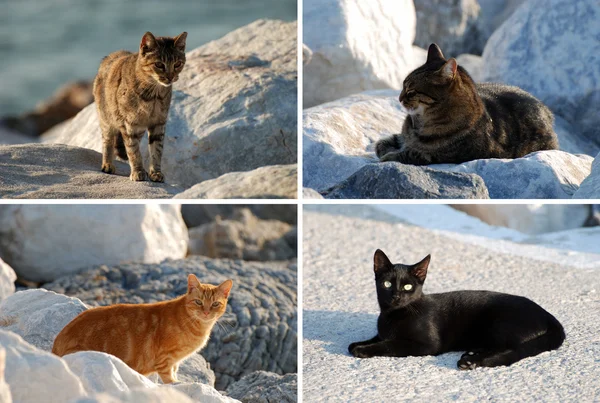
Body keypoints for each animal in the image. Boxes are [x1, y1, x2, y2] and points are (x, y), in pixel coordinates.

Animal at [51, 274, 231, 386]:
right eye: (199, 302)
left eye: (215, 304)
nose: (206, 312)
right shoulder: (165, 358)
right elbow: (169, 378)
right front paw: (175, 384)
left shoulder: (175, 362)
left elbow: (174, 372)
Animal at [94, 32, 186, 183]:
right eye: (159, 64)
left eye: (177, 64)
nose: (170, 77)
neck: (154, 95)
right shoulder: (129, 125)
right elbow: (133, 150)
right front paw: (138, 171)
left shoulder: (158, 123)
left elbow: (156, 150)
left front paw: (155, 172)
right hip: (106, 118)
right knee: (108, 141)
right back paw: (107, 164)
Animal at [350, 251, 564, 370]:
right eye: (387, 284)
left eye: (408, 287)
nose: (396, 296)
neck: (392, 315)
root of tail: (550, 317)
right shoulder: (383, 332)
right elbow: (376, 338)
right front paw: (358, 344)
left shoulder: (426, 344)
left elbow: (389, 344)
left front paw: (363, 350)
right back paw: (471, 354)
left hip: (500, 324)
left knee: (512, 351)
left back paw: (471, 362)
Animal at [378, 43, 560, 164]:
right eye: (402, 85)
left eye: (411, 90)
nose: (399, 98)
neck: (419, 122)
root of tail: (547, 111)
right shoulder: (404, 136)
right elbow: (387, 141)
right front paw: (384, 147)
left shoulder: (454, 155)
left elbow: (416, 153)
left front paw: (391, 156)